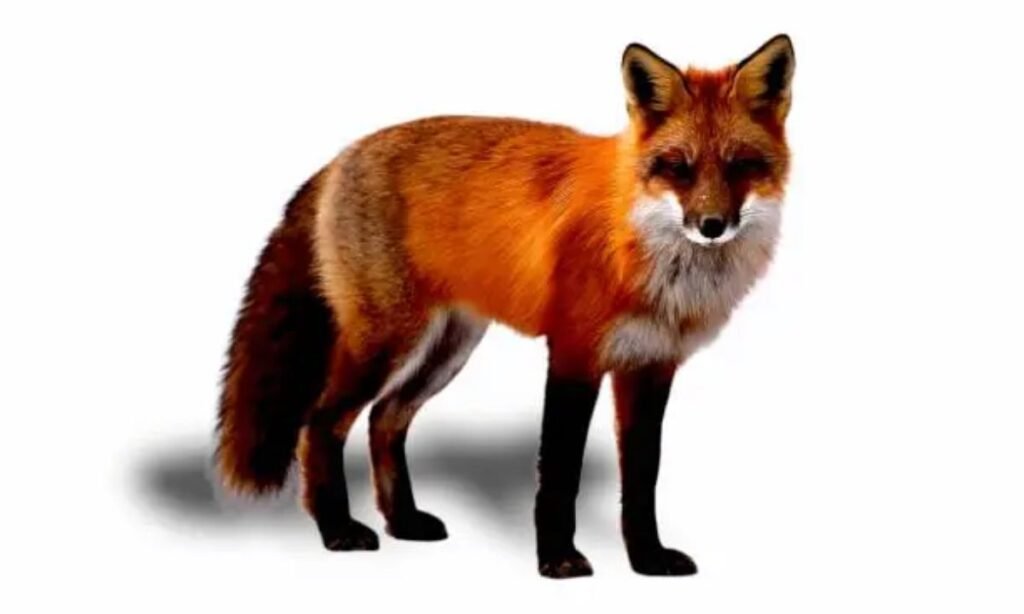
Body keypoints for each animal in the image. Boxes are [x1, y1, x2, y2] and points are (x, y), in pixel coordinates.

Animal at [216, 35, 795, 578]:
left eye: (741, 166)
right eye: (678, 168)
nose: (712, 226)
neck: (645, 251)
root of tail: (342, 156)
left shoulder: (651, 366)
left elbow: (642, 477)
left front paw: (647, 559)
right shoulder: (574, 354)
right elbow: (559, 473)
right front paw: (558, 561)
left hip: (446, 349)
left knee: (384, 419)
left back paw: (403, 521)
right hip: (387, 342)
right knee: (320, 424)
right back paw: (337, 529)